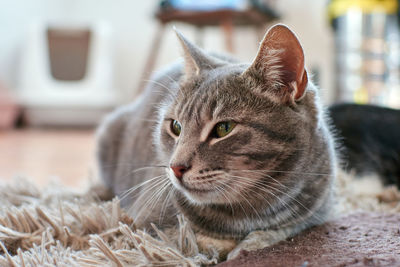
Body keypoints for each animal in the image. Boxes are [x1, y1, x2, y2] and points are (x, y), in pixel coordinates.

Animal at [97, 24, 338, 260]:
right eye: (176, 127)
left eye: (224, 128)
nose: (175, 167)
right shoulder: (145, 224)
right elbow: (187, 242)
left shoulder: (318, 214)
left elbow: (281, 232)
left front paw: (249, 243)